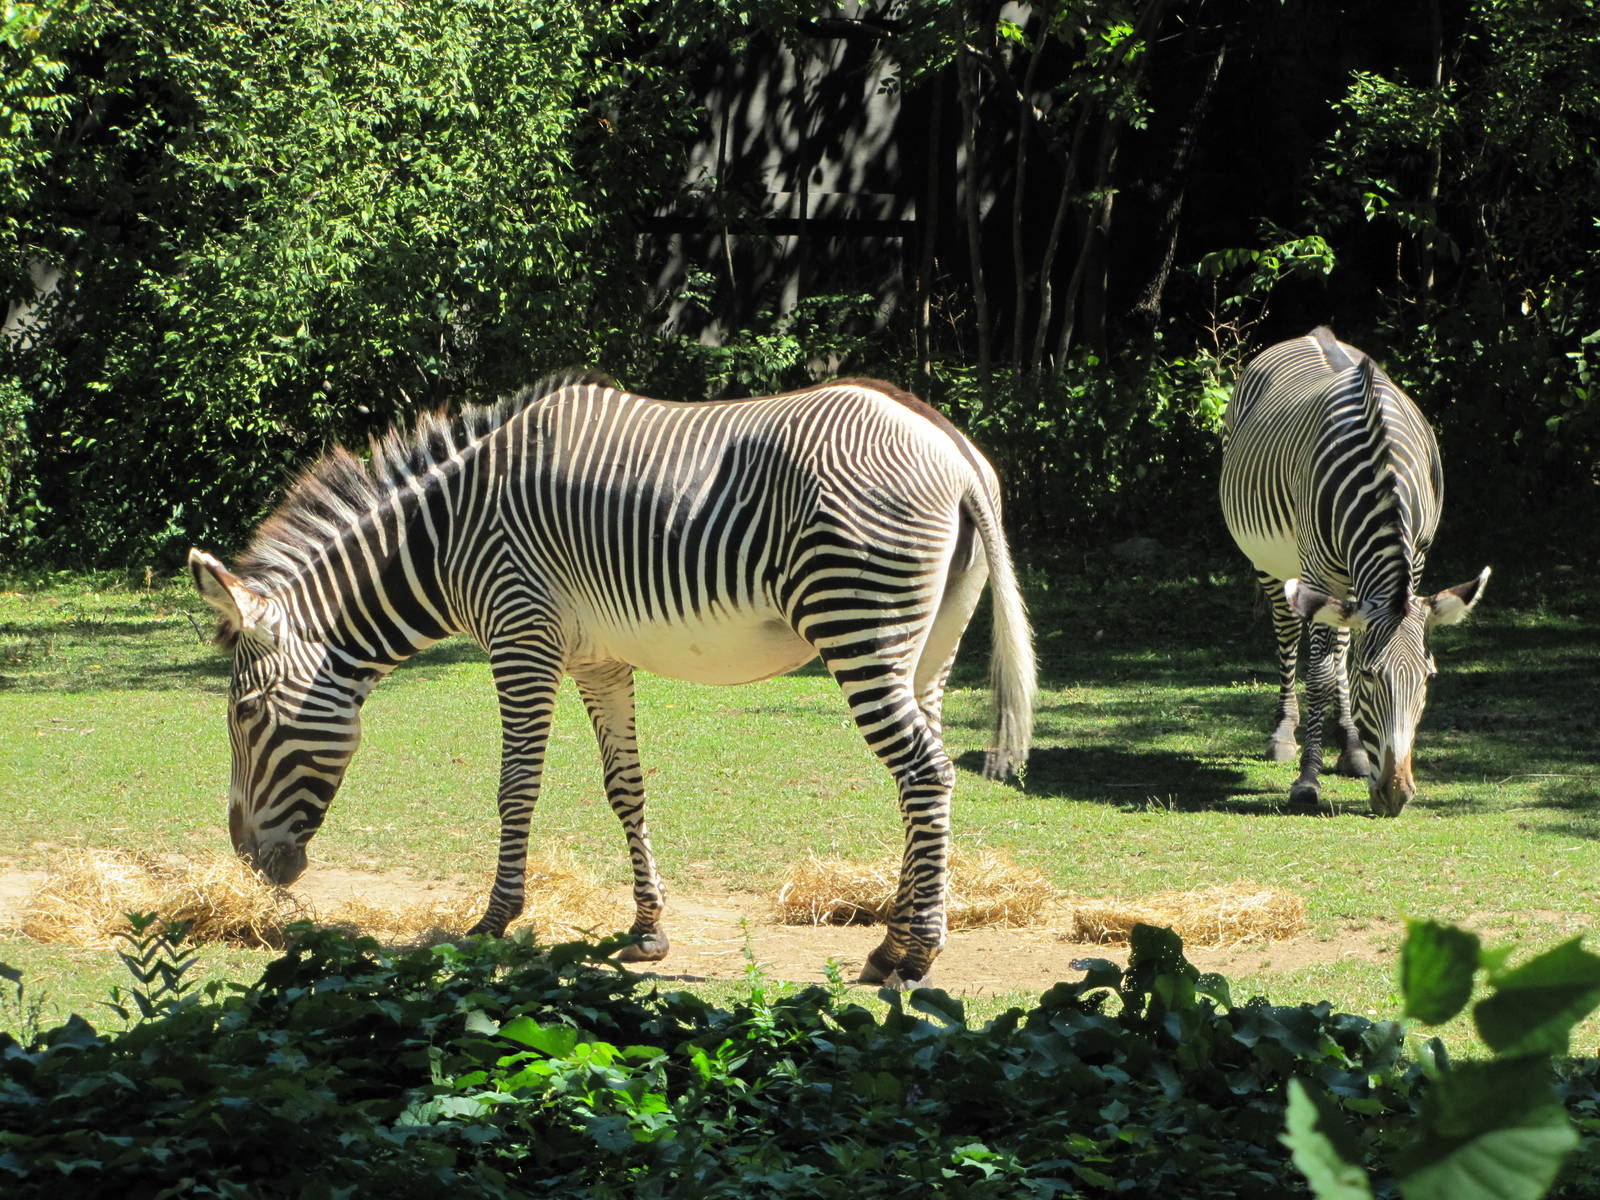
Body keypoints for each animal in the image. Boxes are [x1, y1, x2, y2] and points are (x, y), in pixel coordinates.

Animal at [189, 374, 1035, 987]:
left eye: (248, 715)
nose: (250, 863)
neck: (444, 537)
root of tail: (951, 448)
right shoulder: (597, 658)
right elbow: (626, 786)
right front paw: (647, 931)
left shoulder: (520, 634)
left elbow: (516, 785)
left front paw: (493, 921)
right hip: (928, 645)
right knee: (920, 775)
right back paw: (892, 942)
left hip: (857, 618)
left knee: (924, 771)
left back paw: (917, 956)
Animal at [1220, 327, 1489, 815]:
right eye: (1370, 677)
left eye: (1428, 679)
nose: (1396, 794)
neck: (1381, 477)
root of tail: (1312, 334)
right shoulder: (1316, 571)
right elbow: (1321, 674)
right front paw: (1306, 780)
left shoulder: (1416, 559)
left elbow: (1341, 657)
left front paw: (1352, 750)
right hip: (1271, 562)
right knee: (1290, 634)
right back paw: (1284, 734)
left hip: (1345, 581)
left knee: (1340, 643)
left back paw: (1351, 748)